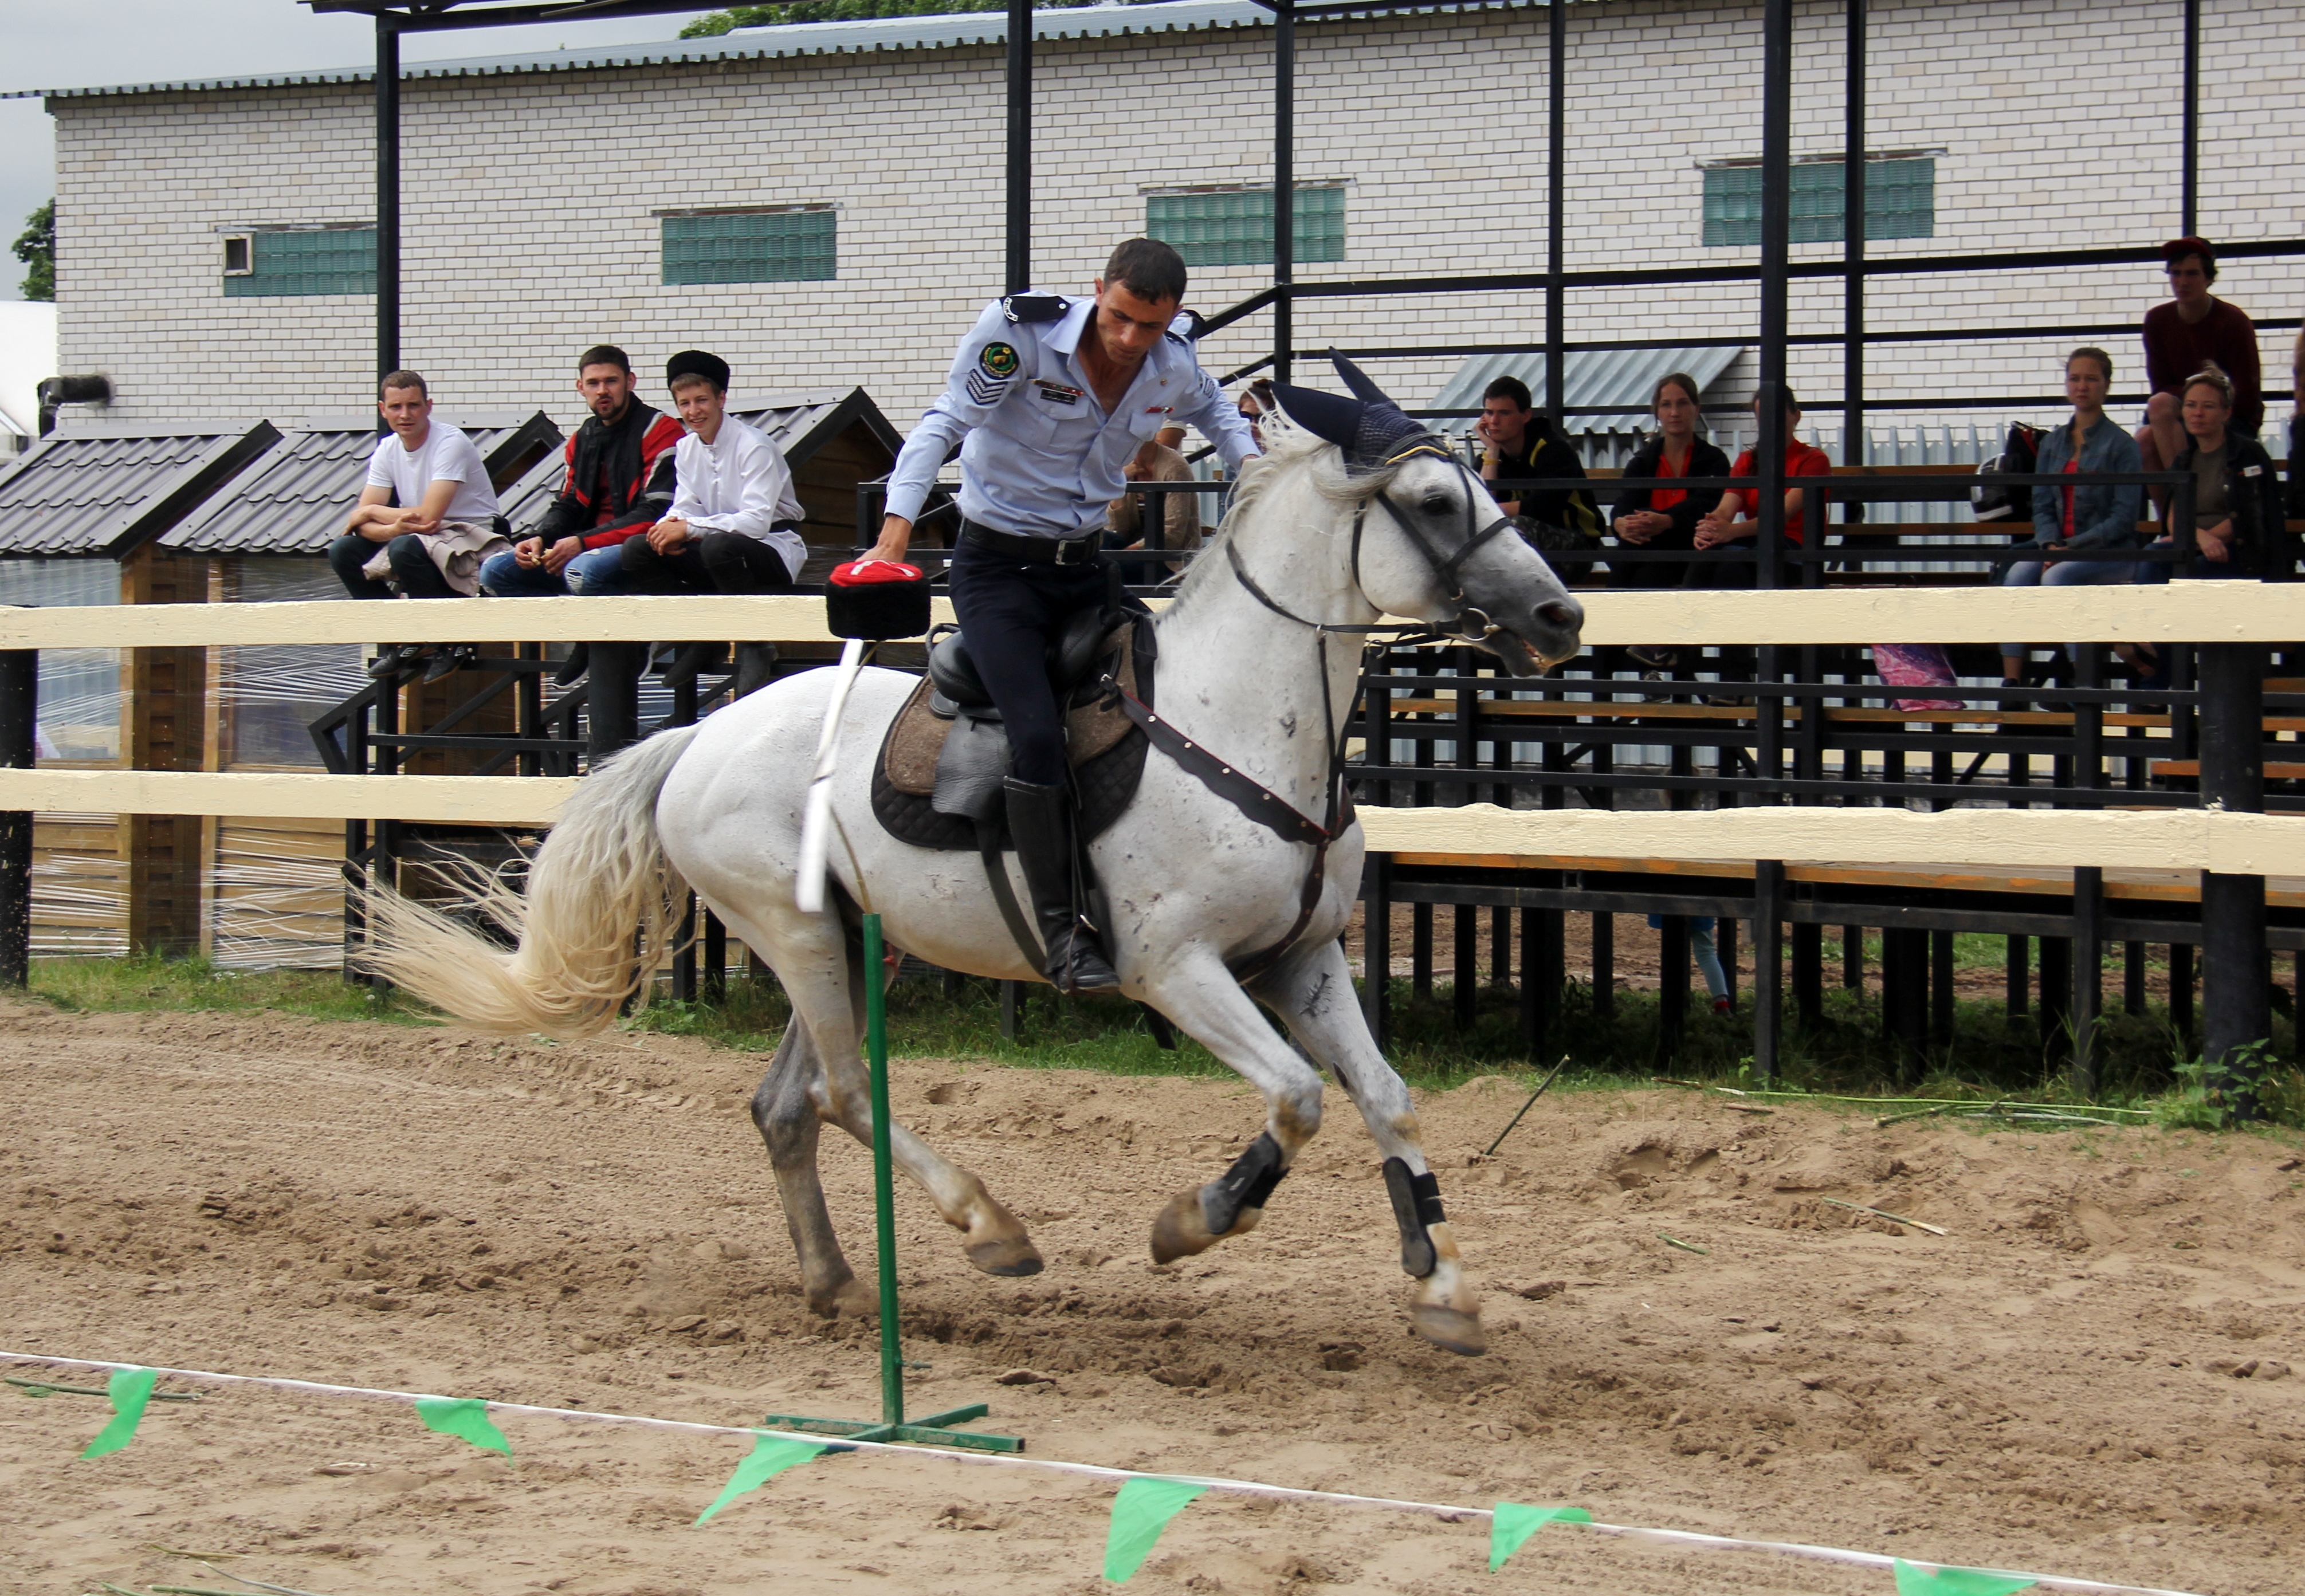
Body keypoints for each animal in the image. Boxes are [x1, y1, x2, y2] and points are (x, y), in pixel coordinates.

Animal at [361, 387, 1585, 1356]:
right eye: (1432, 502)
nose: (1560, 612)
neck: (1231, 718)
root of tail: (696, 737)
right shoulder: (1176, 969)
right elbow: (1296, 1098)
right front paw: (1191, 1222)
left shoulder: (1304, 960)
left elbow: (1384, 1098)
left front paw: (1444, 1288)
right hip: (796, 938)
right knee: (841, 1092)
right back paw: (990, 1227)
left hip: (849, 939)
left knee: (784, 1107)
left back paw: (835, 1283)